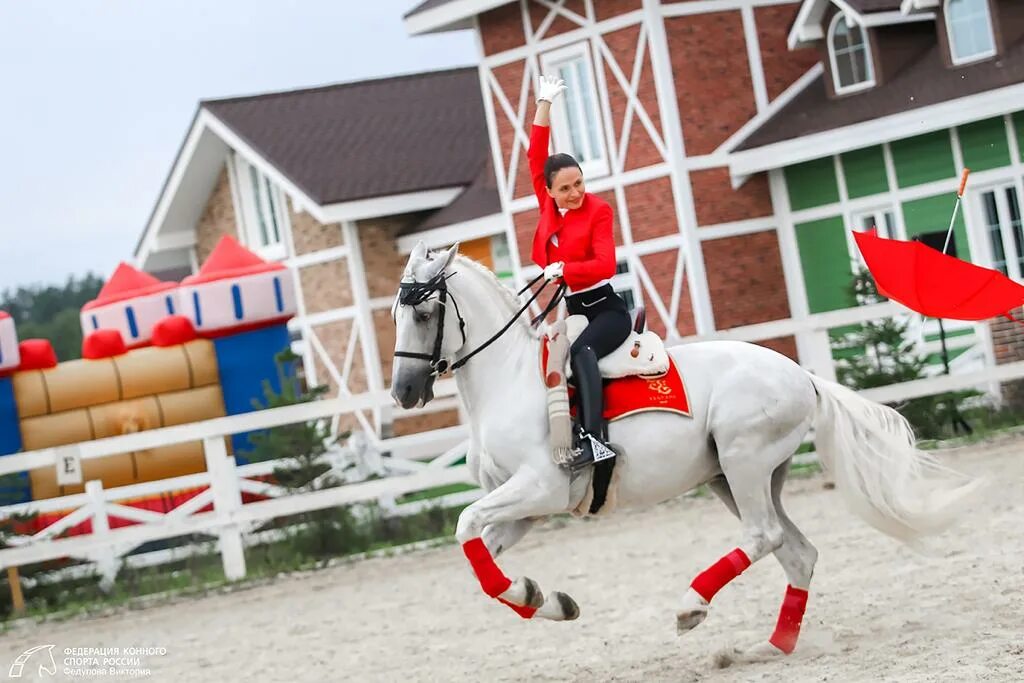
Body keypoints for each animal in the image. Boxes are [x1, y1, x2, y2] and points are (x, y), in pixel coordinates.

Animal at [389, 242, 974, 655]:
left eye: (424, 314)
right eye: (396, 315)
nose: (403, 392)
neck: (508, 379)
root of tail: (802, 376)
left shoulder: (540, 487)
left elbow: (465, 523)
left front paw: (538, 596)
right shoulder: (527, 509)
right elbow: (480, 553)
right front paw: (542, 598)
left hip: (742, 462)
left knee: (764, 537)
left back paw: (692, 607)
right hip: (735, 478)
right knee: (797, 552)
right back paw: (771, 647)